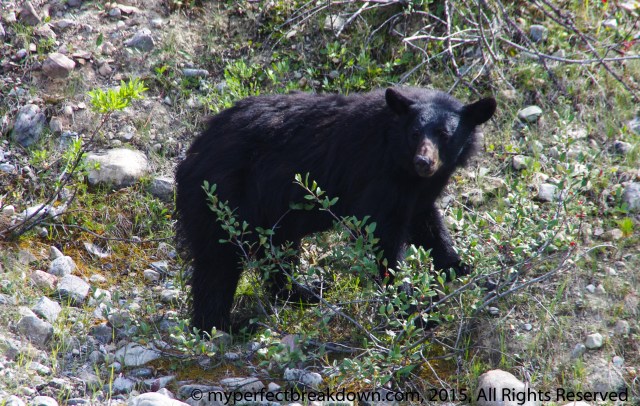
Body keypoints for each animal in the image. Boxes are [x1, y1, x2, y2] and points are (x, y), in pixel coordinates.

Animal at [175, 87, 496, 333]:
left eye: (445, 134)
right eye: (415, 133)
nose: (424, 162)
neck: (404, 168)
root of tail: (191, 155)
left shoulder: (418, 193)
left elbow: (428, 227)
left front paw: (465, 269)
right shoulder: (376, 176)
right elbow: (380, 233)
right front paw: (412, 308)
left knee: (274, 253)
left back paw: (302, 293)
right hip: (222, 199)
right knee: (217, 265)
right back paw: (222, 326)